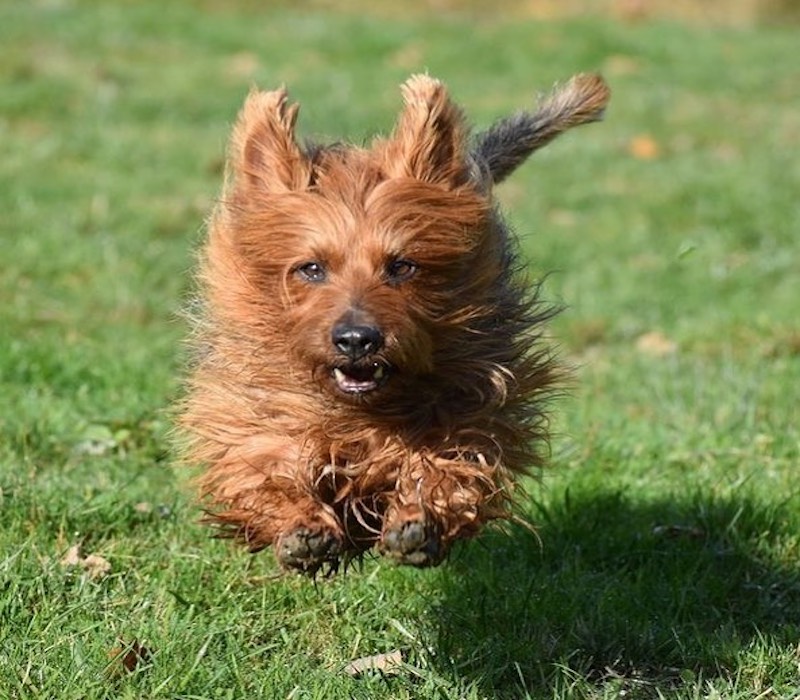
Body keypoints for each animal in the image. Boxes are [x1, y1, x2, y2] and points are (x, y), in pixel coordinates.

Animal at [178, 72, 608, 576]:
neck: (365, 408)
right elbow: (265, 463)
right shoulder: (259, 412)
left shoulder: (473, 400)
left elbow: (453, 458)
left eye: (402, 266)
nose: (356, 339)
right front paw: (301, 525)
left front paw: (420, 517)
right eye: (311, 268)